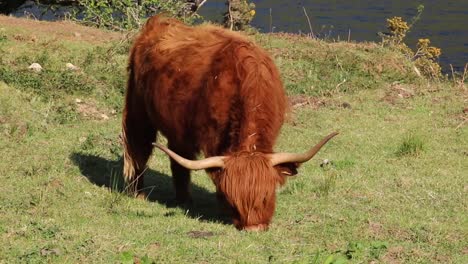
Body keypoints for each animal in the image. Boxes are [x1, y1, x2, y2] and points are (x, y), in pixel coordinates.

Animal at [122, 14, 338, 231]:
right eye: (234, 202)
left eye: (266, 197)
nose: (254, 229)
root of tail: (159, 20)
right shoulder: (212, 138)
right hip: (138, 110)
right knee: (140, 149)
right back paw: (141, 193)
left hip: (178, 127)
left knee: (179, 159)